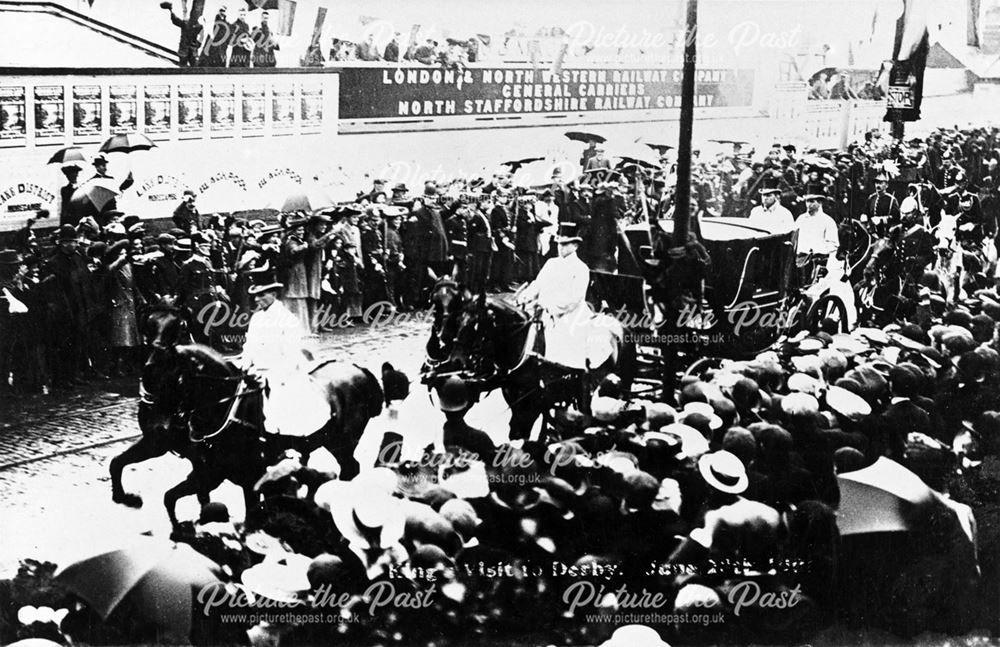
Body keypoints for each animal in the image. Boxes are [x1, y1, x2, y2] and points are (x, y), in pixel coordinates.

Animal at [109, 308, 382, 528]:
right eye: (147, 324)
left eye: (177, 379)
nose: (158, 424)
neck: (225, 410)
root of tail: (360, 370)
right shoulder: (195, 464)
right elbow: (125, 467)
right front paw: (125, 498)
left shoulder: (244, 479)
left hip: (342, 444)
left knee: (350, 468)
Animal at [422, 278, 632, 440]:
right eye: (458, 320)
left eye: (475, 324)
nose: (455, 360)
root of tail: (621, 326)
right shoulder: (514, 397)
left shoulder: (534, 401)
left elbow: (522, 430)